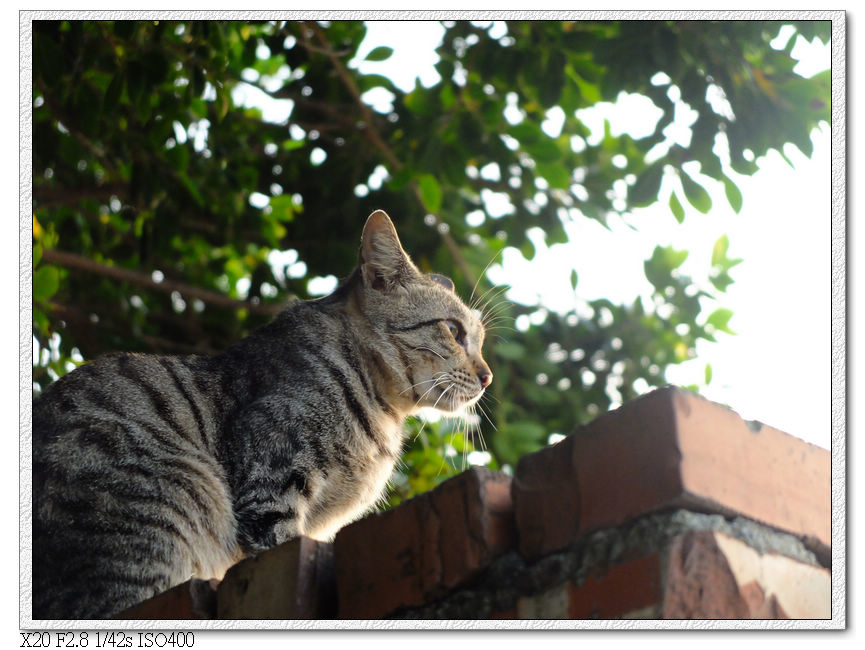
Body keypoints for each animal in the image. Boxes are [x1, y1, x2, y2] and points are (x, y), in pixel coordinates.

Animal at [30, 211, 490, 616]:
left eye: (481, 340)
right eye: (454, 331)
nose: (487, 376)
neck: (383, 410)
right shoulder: (272, 482)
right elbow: (281, 541)